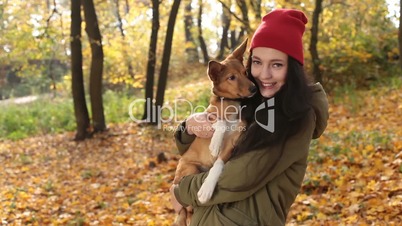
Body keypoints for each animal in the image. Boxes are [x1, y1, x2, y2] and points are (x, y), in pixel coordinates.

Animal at [174, 39, 258, 226]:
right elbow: (220, 122)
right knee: (186, 209)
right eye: (231, 77)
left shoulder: (233, 143)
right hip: (189, 168)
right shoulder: (208, 117)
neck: (230, 104)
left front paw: (206, 189)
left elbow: (218, 165)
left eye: (245, 72)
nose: (254, 88)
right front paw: (214, 144)